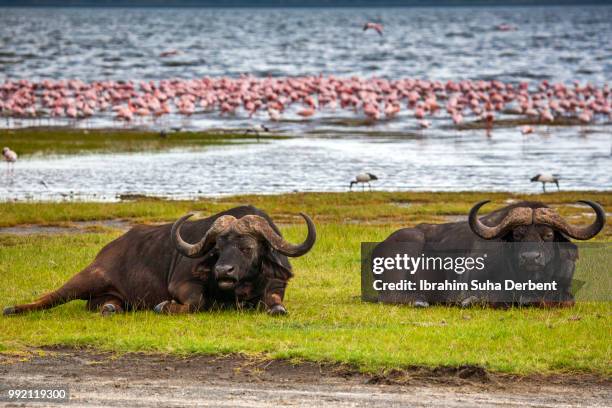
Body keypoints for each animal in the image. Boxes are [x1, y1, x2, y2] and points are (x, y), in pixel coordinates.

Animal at [0, 206, 316, 318]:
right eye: (217, 248)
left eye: (247, 247)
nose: (222, 270)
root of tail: (107, 249)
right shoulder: (183, 284)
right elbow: (197, 301)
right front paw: (164, 306)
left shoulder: (276, 285)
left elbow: (276, 305)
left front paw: (277, 309)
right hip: (88, 277)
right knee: (52, 296)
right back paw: (14, 309)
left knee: (104, 304)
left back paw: (110, 309)